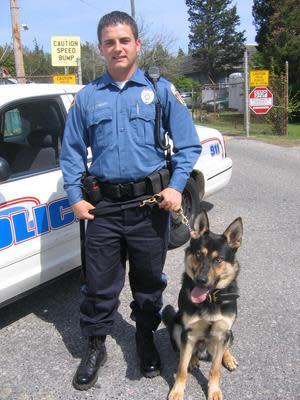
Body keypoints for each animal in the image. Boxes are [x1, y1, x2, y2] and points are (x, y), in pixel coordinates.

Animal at [163, 211, 243, 398]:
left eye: (219, 259)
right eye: (199, 254)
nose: (201, 280)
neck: (210, 299)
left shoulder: (223, 332)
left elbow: (215, 369)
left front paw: (214, 390)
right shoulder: (188, 333)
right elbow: (181, 369)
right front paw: (177, 391)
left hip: (229, 333)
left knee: (224, 348)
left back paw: (228, 358)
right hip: (177, 329)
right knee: (190, 352)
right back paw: (193, 360)